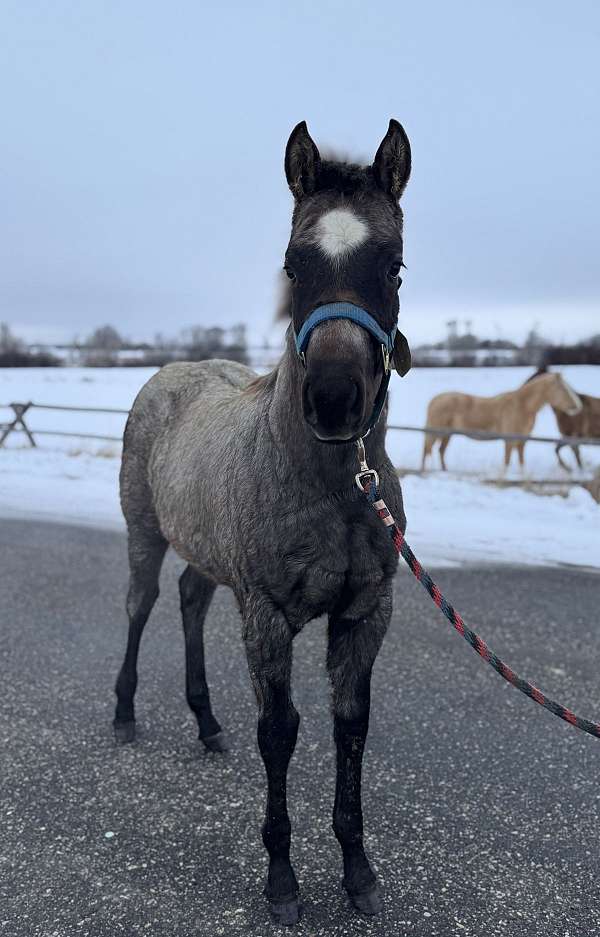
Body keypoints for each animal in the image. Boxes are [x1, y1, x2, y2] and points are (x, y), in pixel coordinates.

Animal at [113, 120, 412, 924]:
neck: (334, 487)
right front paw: (282, 880)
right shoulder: (269, 614)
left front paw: (359, 872)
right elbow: (279, 732)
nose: (335, 399)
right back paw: (123, 713)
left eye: (394, 266)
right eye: (293, 264)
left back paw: (207, 722)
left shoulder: (366, 613)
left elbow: (351, 726)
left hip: (207, 553)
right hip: (145, 535)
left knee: (189, 599)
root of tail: (172, 372)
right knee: (142, 603)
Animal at [422, 372, 580, 472]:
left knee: (440, 451)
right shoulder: (509, 440)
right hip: (436, 432)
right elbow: (507, 462)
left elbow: (521, 463)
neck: (522, 406)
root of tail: (434, 400)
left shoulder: (522, 442)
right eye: (563, 388)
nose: (577, 406)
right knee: (427, 450)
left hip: (447, 434)